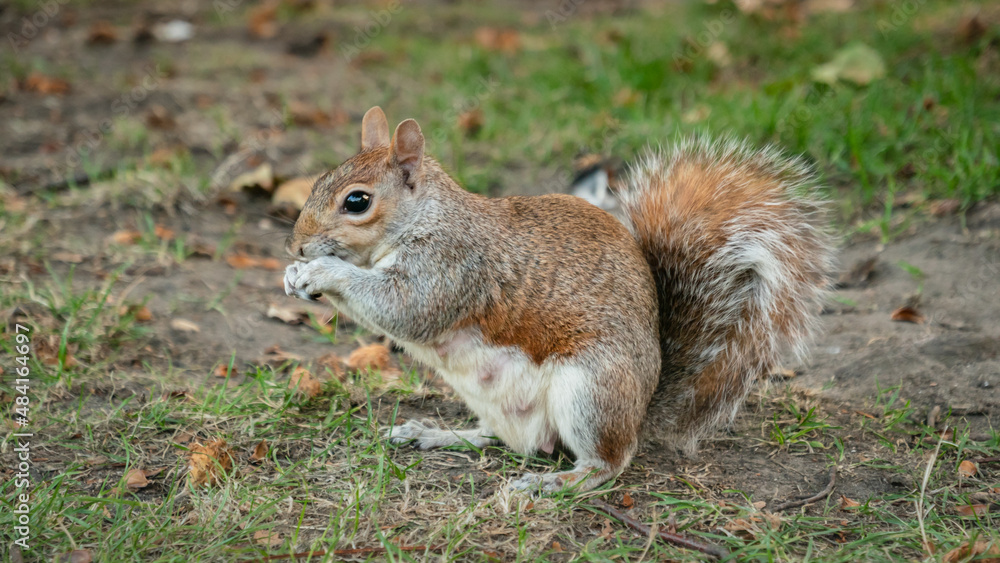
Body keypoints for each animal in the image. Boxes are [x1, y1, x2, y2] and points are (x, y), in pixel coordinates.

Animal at [284, 106, 835, 493]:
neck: (424, 218)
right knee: (507, 439)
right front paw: (294, 276)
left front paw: (324, 270)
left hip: (591, 389)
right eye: (317, 181)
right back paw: (439, 434)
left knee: (609, 461)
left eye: (357, 201)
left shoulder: (453, 267)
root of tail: (642, 409)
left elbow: (404, 308)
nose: (297, 246)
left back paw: (560, 481)